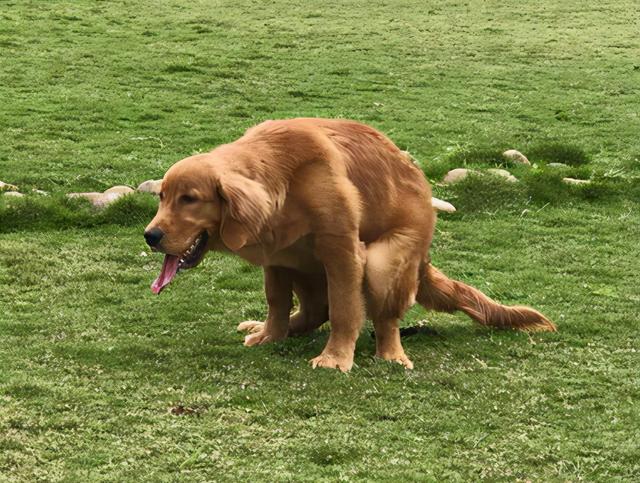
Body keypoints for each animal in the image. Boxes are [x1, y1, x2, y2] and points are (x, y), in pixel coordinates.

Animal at [145, 119, 556, 372]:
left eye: (190, 199)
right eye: (162, 197)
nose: (150, 236)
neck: (285, 183)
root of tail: (424, 259)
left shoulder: (342, 250)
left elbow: (345, 309)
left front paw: (335, 358)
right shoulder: (276, 256)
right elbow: (277, 302)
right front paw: (269, 334)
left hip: (384, 262)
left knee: (382, 319)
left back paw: (391, 355)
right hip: (303, 265)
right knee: (313, 311)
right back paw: (270, 326)